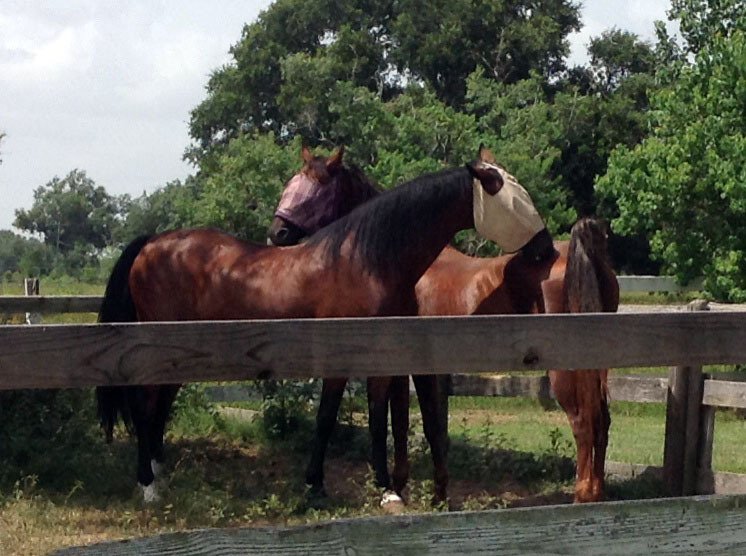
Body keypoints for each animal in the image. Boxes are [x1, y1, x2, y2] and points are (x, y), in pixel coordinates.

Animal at [95, 145, 546, 504]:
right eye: (514, 200)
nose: (544, 247)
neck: (365, 260)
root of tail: (152, 243)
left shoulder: (386, 360)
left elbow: (379, 418)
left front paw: (382, 487)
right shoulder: (349, 358)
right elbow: (337, 417)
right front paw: (335, 486)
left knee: (157, 405)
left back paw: (159, 474)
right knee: (143, 403)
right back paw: (148, 486)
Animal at [269, 147, 618, 503]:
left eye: (316, 191)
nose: (277, 232)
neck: (403, 263)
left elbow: (419, 423)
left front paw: (424, 492)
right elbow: (409, 422)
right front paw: (417, 487)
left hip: (565, 369)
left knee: (582, 419)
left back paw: (582, 495)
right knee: (601, 419)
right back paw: (597, 491)